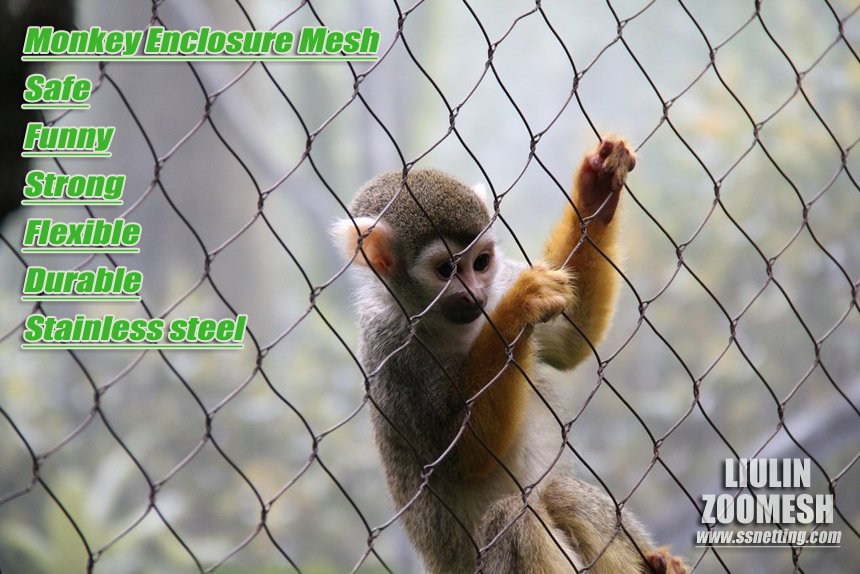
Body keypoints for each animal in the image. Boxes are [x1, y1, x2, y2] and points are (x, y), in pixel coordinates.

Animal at [333, 136, 687, 573]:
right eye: (448, 270)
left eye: (481, 263)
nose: (475, 295)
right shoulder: (389, 350)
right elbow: (461, 456)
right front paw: (521, 304)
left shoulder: (497, 282)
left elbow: (568, 340)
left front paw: (597, 188)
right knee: (511, 516)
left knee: (561, 496)